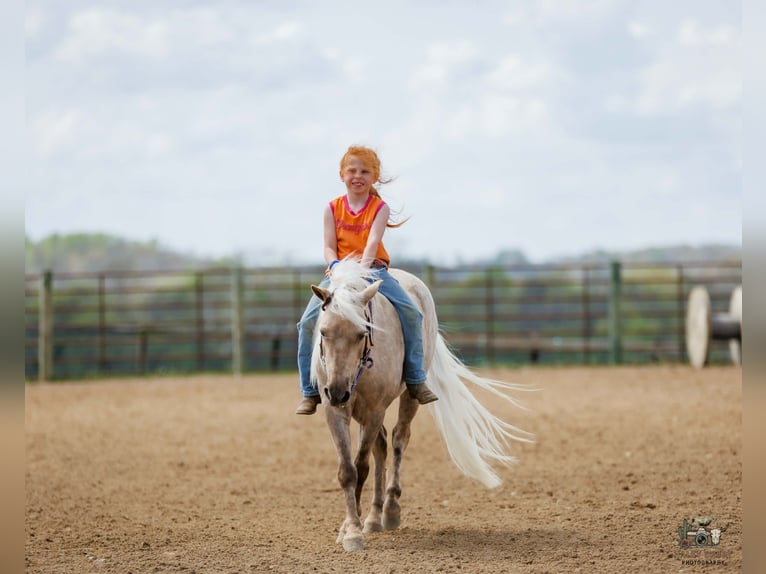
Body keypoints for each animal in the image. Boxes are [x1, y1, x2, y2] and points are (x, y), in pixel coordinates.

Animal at [308, 258, 532, 551]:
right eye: (324, 332)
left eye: (361, 333)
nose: (336, 391)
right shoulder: (336, 410)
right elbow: (348, 470)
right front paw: (349, 527)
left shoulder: (374, 409)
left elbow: (362, 466)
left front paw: (353, 531)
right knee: (381, 446)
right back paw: (373, 518)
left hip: (405, 398)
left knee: (398, 439)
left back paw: (390, 511)